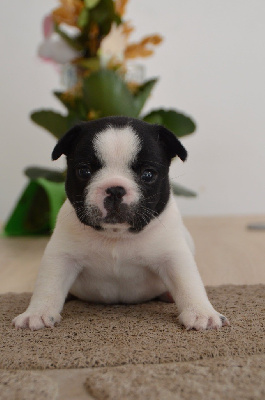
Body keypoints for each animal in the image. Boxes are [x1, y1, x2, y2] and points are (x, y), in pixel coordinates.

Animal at [12, 115, 228, 332]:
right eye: (84, 171)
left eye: (148, 174)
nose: (115, 189)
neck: (116, 235)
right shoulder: (61, 258)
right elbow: (48, 286)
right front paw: (37, 313)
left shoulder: (173, 257)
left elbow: (188, 284)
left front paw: (201, 313)